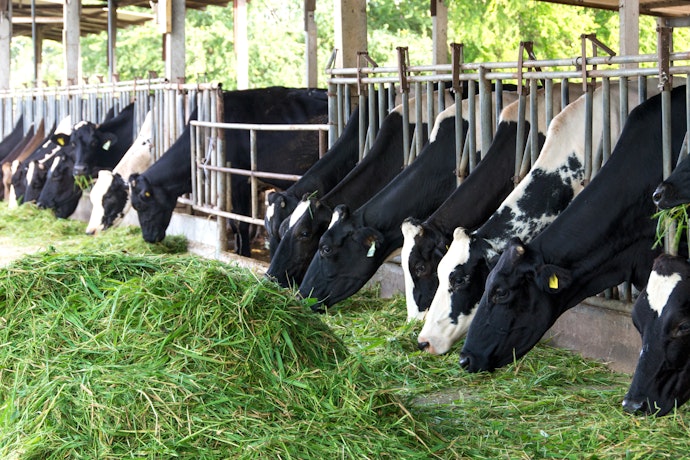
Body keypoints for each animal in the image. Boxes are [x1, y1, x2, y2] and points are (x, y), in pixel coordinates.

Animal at [130, 87, 329, 251]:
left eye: (140, 205)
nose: (147, 238)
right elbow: (234, 223)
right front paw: (238, 250)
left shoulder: (239, 181)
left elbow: (242, 224)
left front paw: (244, 254)